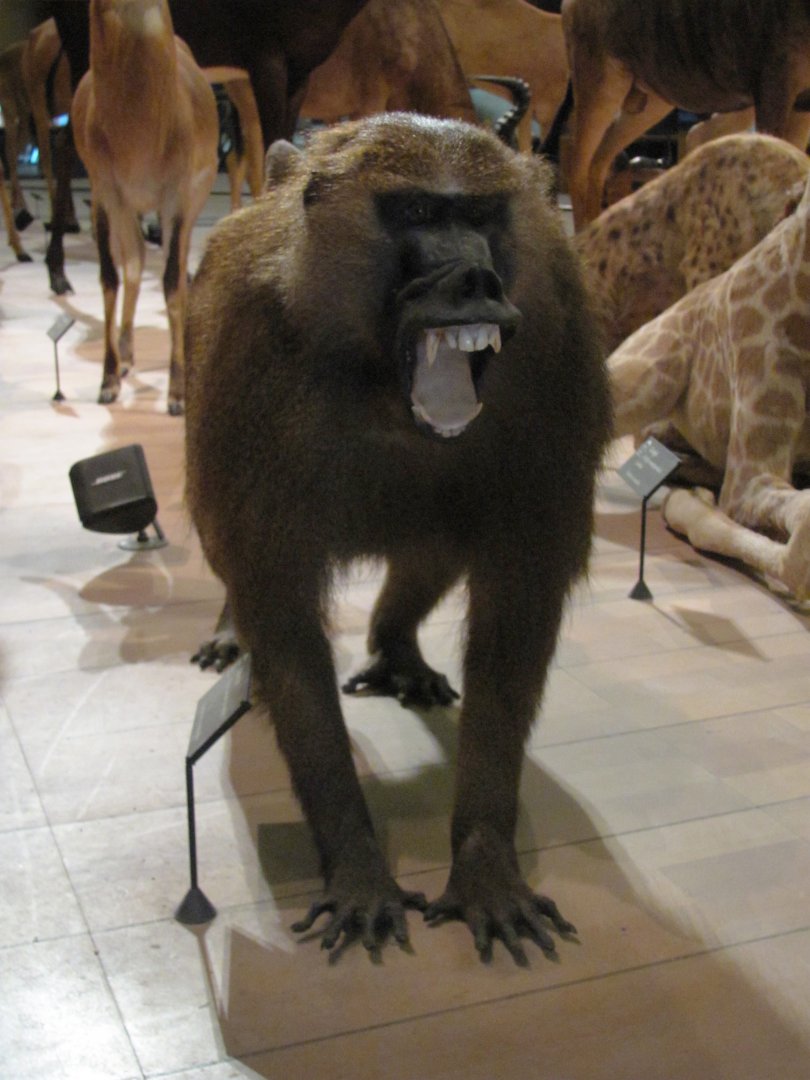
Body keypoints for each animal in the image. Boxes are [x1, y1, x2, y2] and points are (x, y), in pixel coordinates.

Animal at [184, 113, 612, 963]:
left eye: (479, 216)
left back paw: (396, 650)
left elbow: (515, 607)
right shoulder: (247, 356)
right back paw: (233, 631)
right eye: (415, 212)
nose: (477, 280)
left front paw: (484, 861)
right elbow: (280, 617)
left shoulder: (560, 342)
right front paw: (356, 864)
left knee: (435, 544)